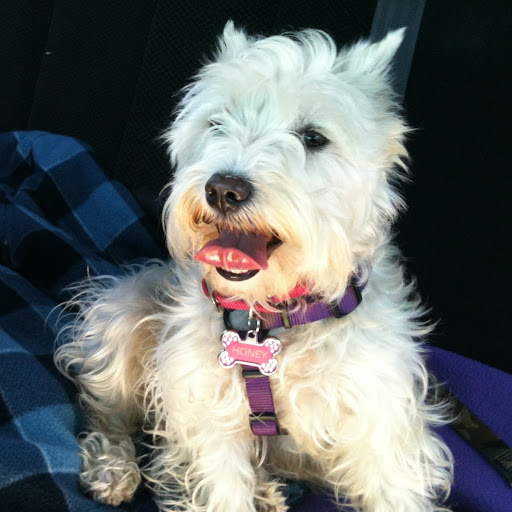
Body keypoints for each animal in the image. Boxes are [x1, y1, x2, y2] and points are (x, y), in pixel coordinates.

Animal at [55, 22, 454, 512]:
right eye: (216, 122)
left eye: (313, 137)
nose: (224, 189)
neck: (271, 315)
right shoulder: (206, 413)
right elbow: (222, 486)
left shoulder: (380, 423)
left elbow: (395, 486)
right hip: (127, 310)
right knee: (105, 409)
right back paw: (111, 469)